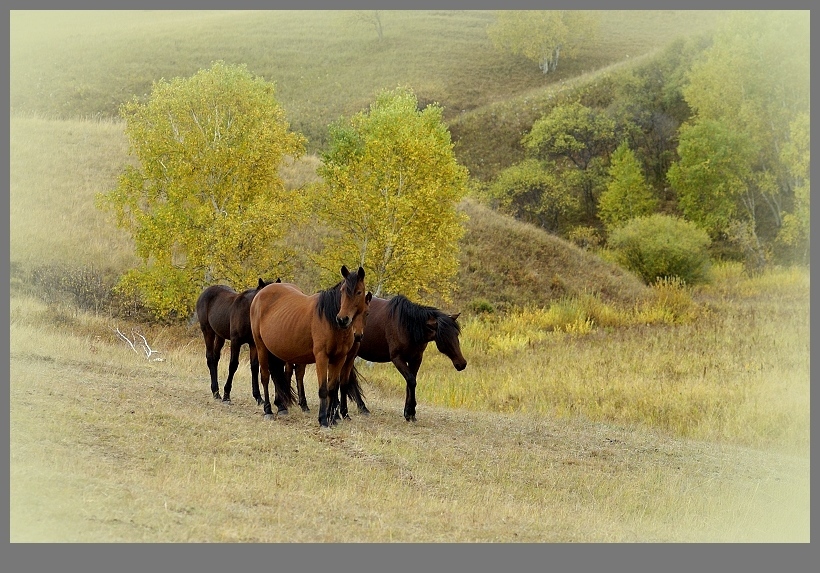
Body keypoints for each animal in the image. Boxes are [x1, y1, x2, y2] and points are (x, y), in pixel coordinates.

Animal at [250, 266, 372, 426]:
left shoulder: (340, 359)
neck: (329, 320)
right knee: (265, 376)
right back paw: (268, 411)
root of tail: (261, 293)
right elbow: (323, 389)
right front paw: (323, 420)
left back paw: (282, 407)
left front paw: (332, 419)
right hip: (261, 347)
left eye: (359, 292)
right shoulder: (322, 357)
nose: (342, 319)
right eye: (343, 291)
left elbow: (332, 388)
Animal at [292, 294, 464, 420]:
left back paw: (359, 408)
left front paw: (410, 412)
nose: (461, 364)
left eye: (456, 334)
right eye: (445, 337)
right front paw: (409, 412)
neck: (406, 325)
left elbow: (411, 383)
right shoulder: (397, 358)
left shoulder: (416, 359)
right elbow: (411, 381)